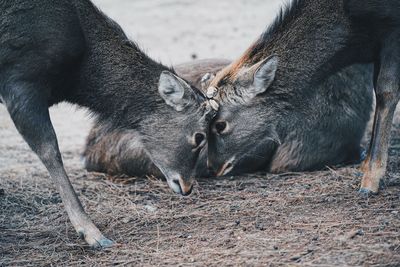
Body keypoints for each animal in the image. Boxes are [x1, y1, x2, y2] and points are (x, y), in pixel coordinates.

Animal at [0, 0, 217, 248]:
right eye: (199, 136)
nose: (187, 186)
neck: (74, 80)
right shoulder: (19, 81)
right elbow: (50, 151)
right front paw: (92, 233)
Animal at [205, 0, 398, 195]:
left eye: (220, 125)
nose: (212, 167)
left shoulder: (392, 33)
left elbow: (386, 91)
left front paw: (371, 180)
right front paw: (364, 168)